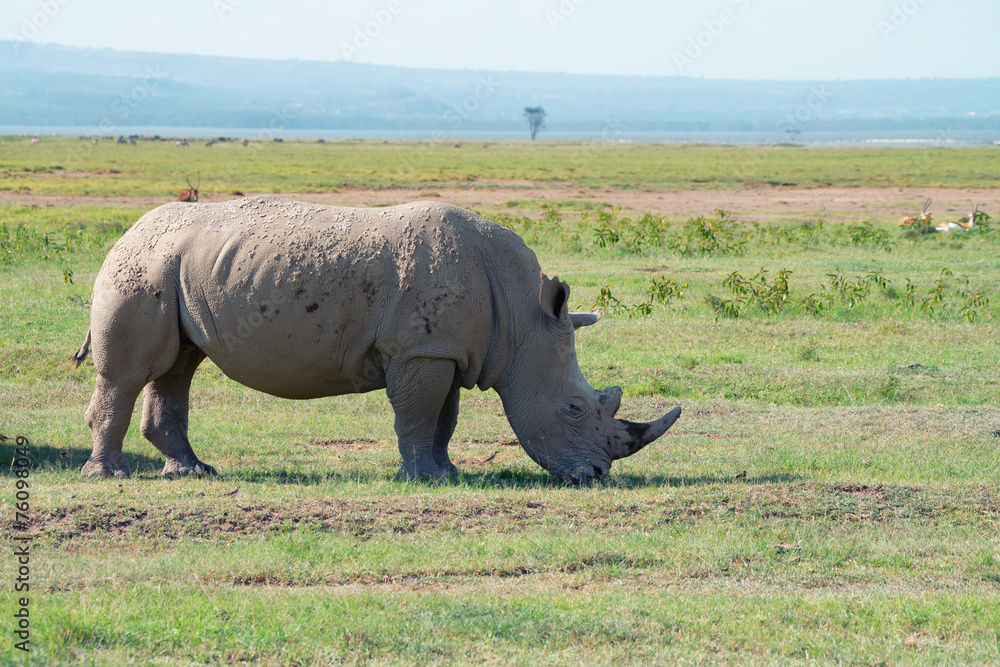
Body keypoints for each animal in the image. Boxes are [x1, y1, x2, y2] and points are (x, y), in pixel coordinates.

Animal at [73, 196, 680, 484]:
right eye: (575, 408)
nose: (597, 477)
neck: (522, 318)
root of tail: (126, 232)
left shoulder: (443, 349)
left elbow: (443, 417)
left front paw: (445, 474)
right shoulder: (420, 350)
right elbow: (418, 414)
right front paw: (423, 480)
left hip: (177, 266)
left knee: (179, 366)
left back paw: (193, 473)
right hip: (142, 267)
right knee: (133, 373)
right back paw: (111, 476)